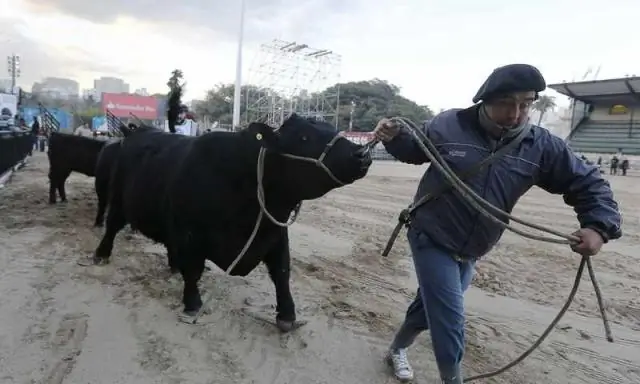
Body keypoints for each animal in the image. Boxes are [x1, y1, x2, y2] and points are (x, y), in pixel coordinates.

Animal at [87, 115, 372, 332]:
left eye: (333, 129)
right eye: (304, 137)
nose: (362, 153)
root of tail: (137, 131)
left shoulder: (276, 233)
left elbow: (281, 273)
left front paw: (287, 315)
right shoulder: (190, 232)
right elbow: (194, 271)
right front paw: (192, 304)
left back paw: (173, 266)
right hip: (118, 198)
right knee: (112, 226)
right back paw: (101, 254)